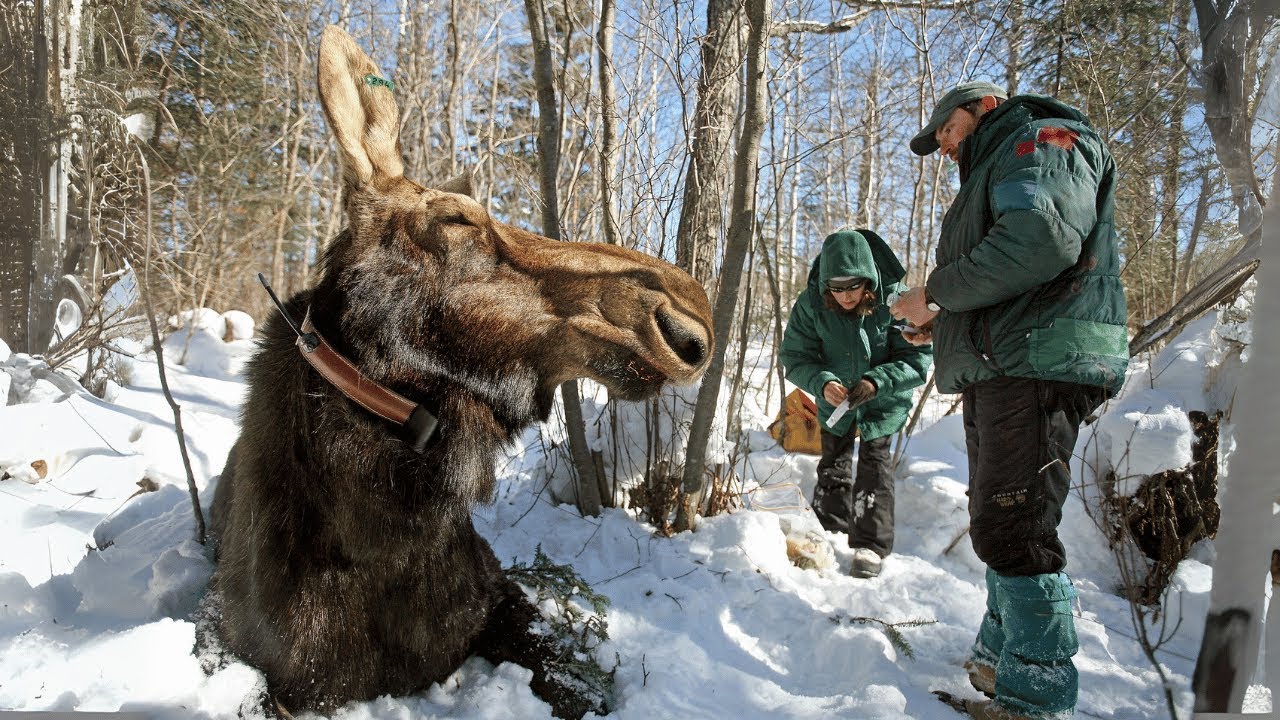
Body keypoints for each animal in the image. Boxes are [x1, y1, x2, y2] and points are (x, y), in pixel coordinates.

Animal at [207, 25, 713, 719]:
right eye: (456, 219)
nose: (687, 313)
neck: (385, 540)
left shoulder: (498, 597)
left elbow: (574, 680)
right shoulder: (262, 667)